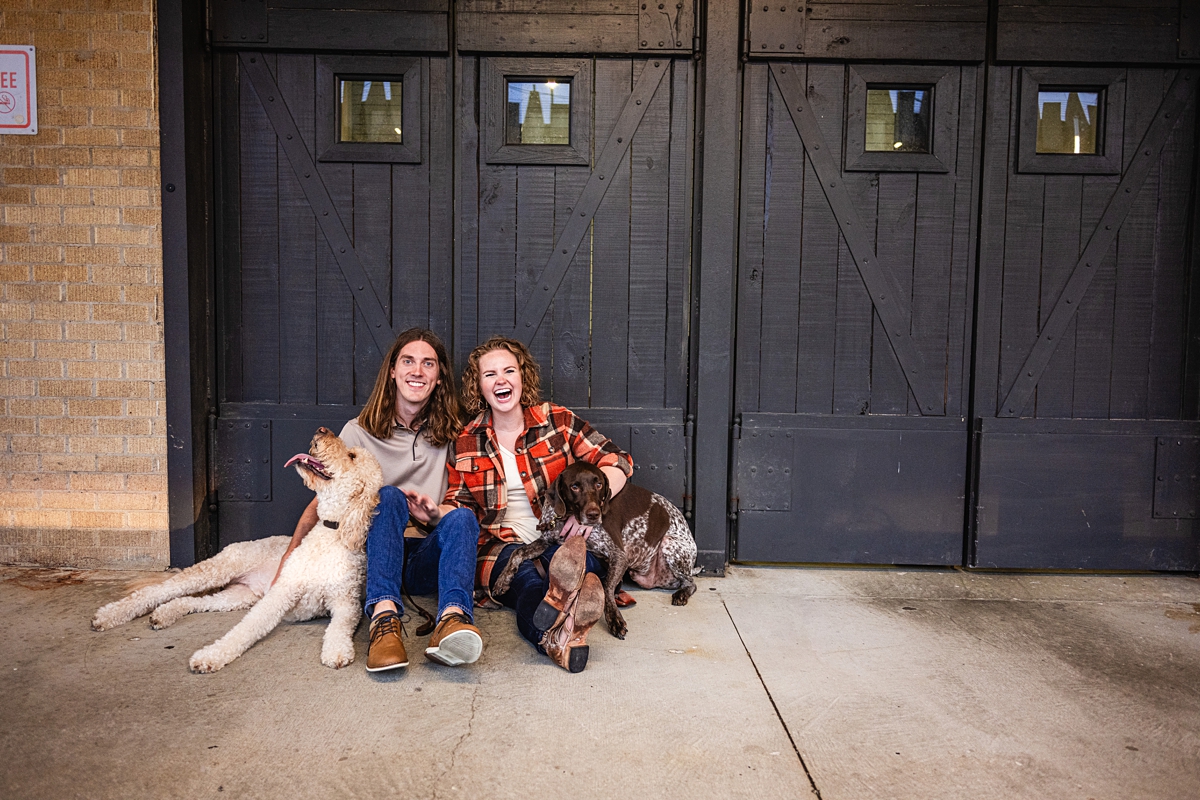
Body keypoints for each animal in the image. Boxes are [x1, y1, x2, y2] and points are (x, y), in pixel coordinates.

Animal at [94, 429, 384, 671]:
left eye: (351, 456)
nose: (322, 430)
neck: (332, 531)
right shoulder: (280, 594)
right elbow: (244, 630)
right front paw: (211, 655)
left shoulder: (345, 603)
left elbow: (339, 628)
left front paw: (337, 651)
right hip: (218, 569)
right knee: (156, 591)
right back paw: (109, 615)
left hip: (239, 595)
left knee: (191, 601)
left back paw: (164, 614)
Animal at [489, 462, 700, 638]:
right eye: (574, 487)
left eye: (599, 485)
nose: (593, 514)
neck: (566, 516)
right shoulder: (545, 541)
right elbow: (517, 553)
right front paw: (503, 580)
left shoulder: (619, 555)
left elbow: (606, 586)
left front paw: (615, 619)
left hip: (670, 545)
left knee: (691, 583)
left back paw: (681, 594)